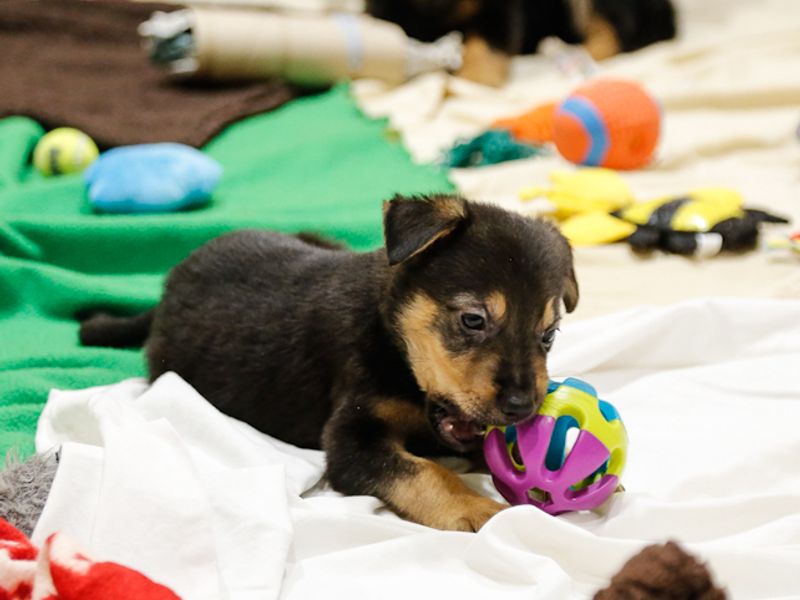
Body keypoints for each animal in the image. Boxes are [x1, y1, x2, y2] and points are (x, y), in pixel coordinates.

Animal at [81, 196, 580, 528]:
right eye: (473, 319)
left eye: (548, 335)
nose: (522, 407)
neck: (390, 337)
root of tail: (169, 286)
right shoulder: (351, 440)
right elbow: (427, 472)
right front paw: (480, 510)